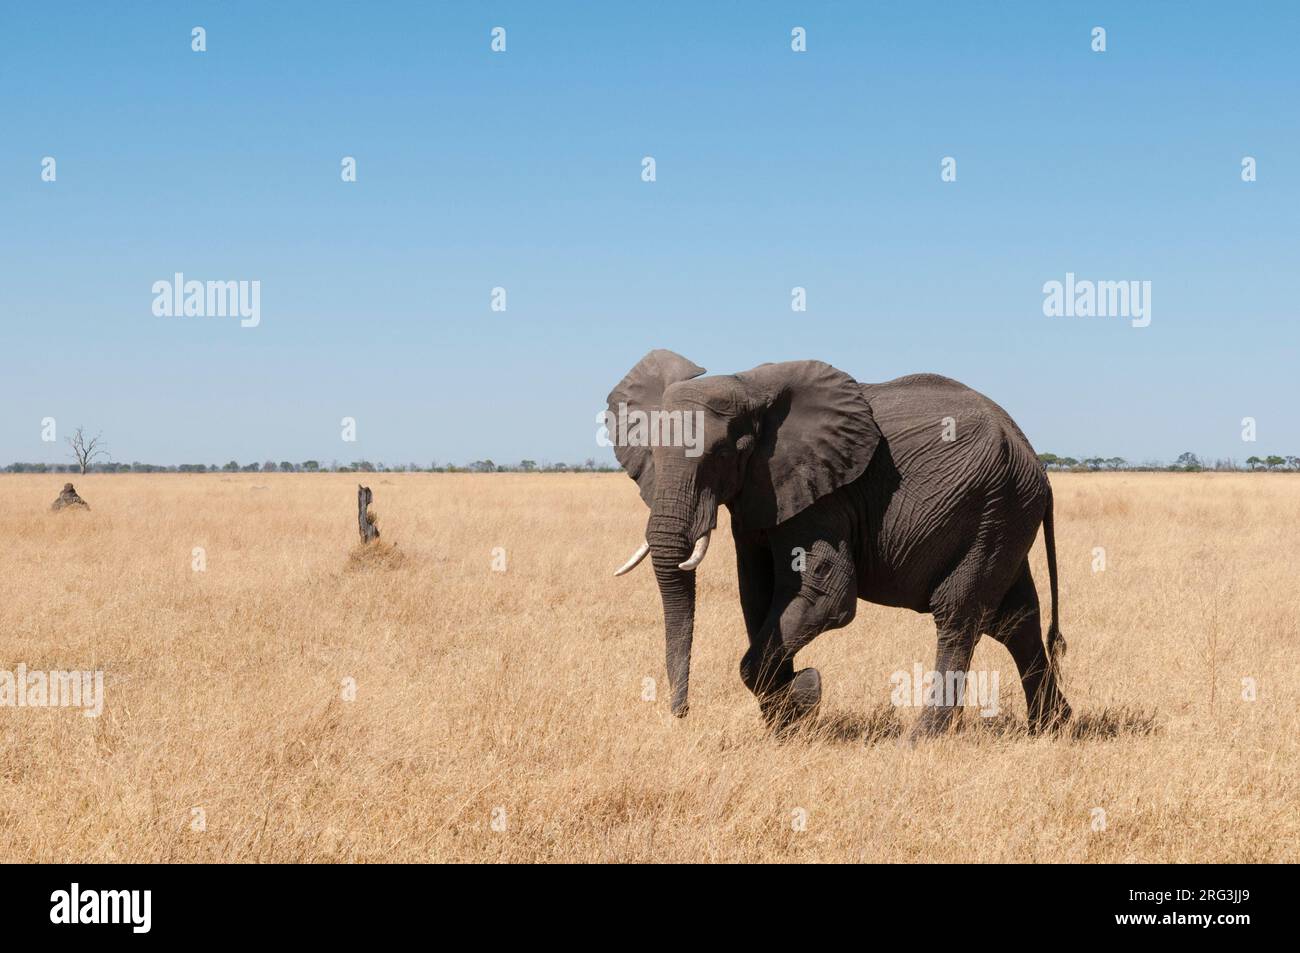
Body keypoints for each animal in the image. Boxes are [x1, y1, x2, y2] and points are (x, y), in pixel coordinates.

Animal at [603, 348, 1071, 738]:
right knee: (1016, 619)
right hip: (1004, 513)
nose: (680, 714)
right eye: (650, 453)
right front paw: (785, 720)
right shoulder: (760, 495)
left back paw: (923, 738)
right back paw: (1052, 728)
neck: (747, 387)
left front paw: (803, 695)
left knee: (959, 614)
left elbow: (826, 595)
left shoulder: (822, 496)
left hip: (994, 503)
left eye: (721, 453)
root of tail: (1036, 461)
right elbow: (755, 594)